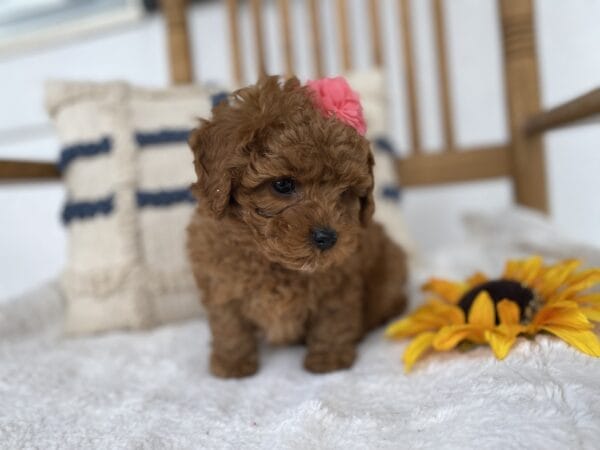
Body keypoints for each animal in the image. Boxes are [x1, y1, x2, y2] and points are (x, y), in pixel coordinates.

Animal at [188, 76, 408, 376]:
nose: (328, 237)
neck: (273, 262)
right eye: (283, 185)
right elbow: (229, 324)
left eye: (345, 192)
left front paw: (329, 359)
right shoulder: (219, 282)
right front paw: (233, 364)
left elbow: (333, 318)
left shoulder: (340, 282)